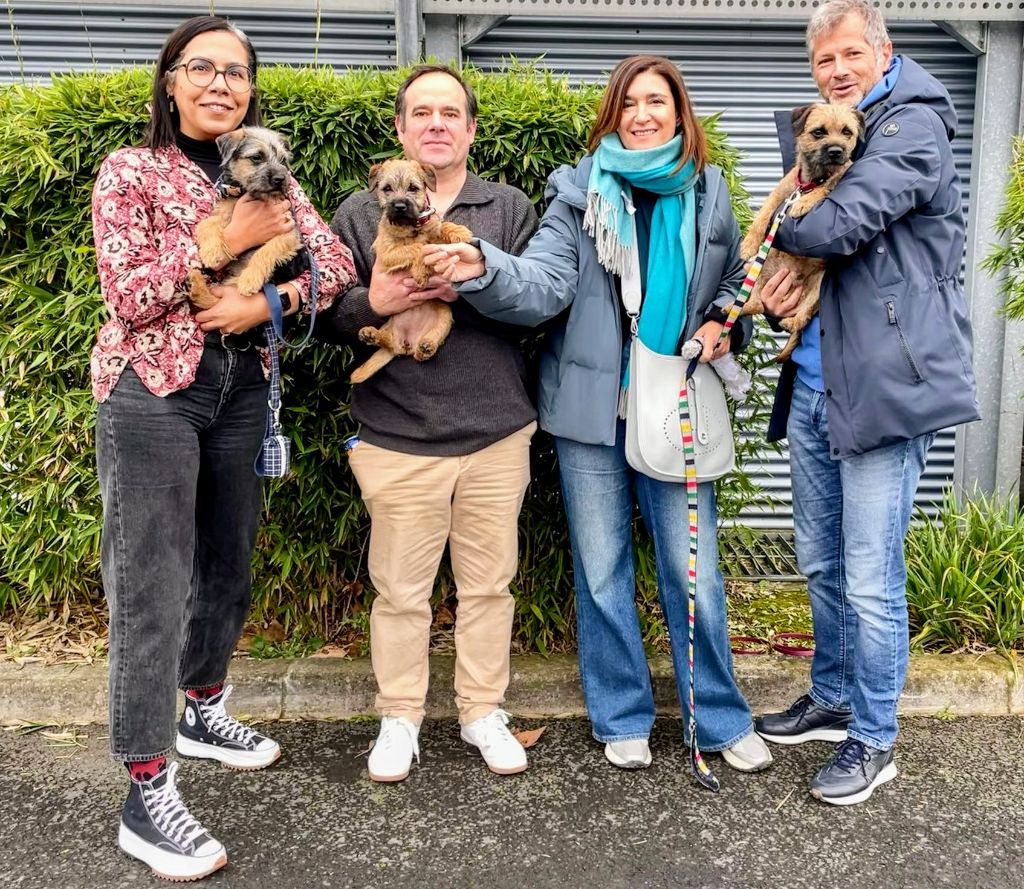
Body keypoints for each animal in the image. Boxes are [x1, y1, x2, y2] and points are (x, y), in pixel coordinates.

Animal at [189, 127, 301, 309]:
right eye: (256, 157)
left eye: (283, 160)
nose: (280, 179)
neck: (249, 194)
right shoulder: (224, 211)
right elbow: (207, 223)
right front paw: (211, 252)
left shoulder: (289, 232)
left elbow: (266, 250)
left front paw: (250, 279)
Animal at [346, 158, 468, 385]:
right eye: (387, 189)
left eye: (413, 188)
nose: (400, 206)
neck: (411, 227)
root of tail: (409, 341)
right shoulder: (388, 253)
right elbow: (418, 247)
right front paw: (420, 271)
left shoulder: (434, 233)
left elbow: (441, 226)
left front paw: (459, 231)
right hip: (391, 325)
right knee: (390, 342)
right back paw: (372, 334)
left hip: (444, 315)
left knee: (420, 351)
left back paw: (426, 346)